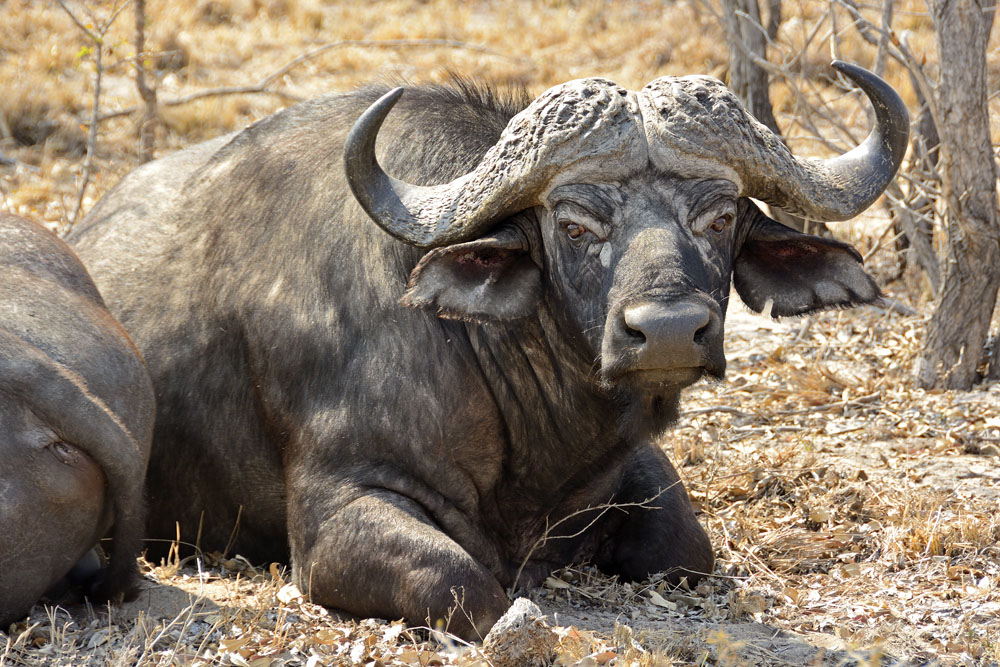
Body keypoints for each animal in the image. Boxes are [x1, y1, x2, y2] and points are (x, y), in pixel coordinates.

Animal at [69, 61, 907, 638]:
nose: (669, 330)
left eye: (721, 215)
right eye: (574, 223)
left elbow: (686, 545)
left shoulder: (630, 464)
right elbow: (465, 584)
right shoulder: (337, 515)